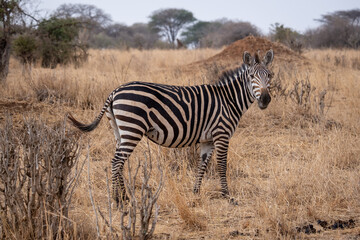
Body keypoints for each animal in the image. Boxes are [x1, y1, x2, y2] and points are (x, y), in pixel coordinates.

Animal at [69, 49, 274, 205]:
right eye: (252, 76)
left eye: (270, 76)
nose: (265, 99)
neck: (229, 100)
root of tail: (115, 91)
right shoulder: (221, 134)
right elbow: (222, 166)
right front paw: (227, 196)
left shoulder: (207, 140)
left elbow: (202, 165)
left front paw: (196, 192)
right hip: (132, 129)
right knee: (116, 162)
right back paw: (117, 200)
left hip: (119, 130)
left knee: (118, 162)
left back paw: (124, 197)